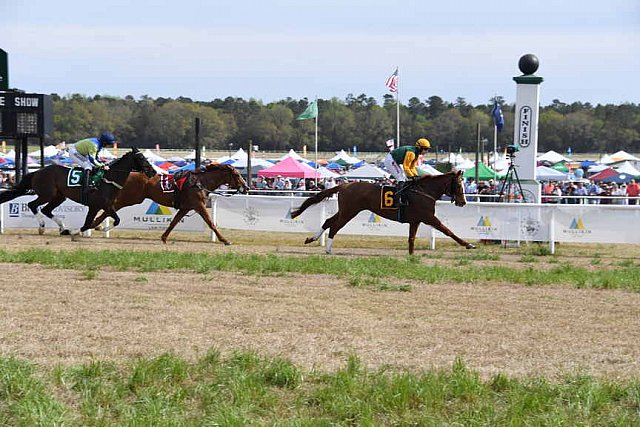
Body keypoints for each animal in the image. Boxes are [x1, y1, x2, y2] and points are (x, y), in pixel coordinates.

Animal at [0, 148, 156, 236]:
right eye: (141, 158)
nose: (153, 172)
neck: (108, 180)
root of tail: (37, 172)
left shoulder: (106, 205)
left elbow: (116, 220)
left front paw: (101, 228)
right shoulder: (95, 206)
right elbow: (87, 223)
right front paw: (77, 231)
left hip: (59, 197)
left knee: (46, 210)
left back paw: (63, 228)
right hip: (47, 194)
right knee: (33, 205)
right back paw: (43, 227)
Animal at [290, 171, 476, 256]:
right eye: (458, 185)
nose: (463, 202)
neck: (424, 192)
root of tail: (345, 185)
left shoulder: (415, 220)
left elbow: (411, 238)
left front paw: (411, 256)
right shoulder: (429, 217)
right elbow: (447, 230)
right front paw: (468, 244)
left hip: (346, 210)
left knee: (328, 221)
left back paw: (312, 239)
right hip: (350, 211)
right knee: (335, 226)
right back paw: (328, 249)